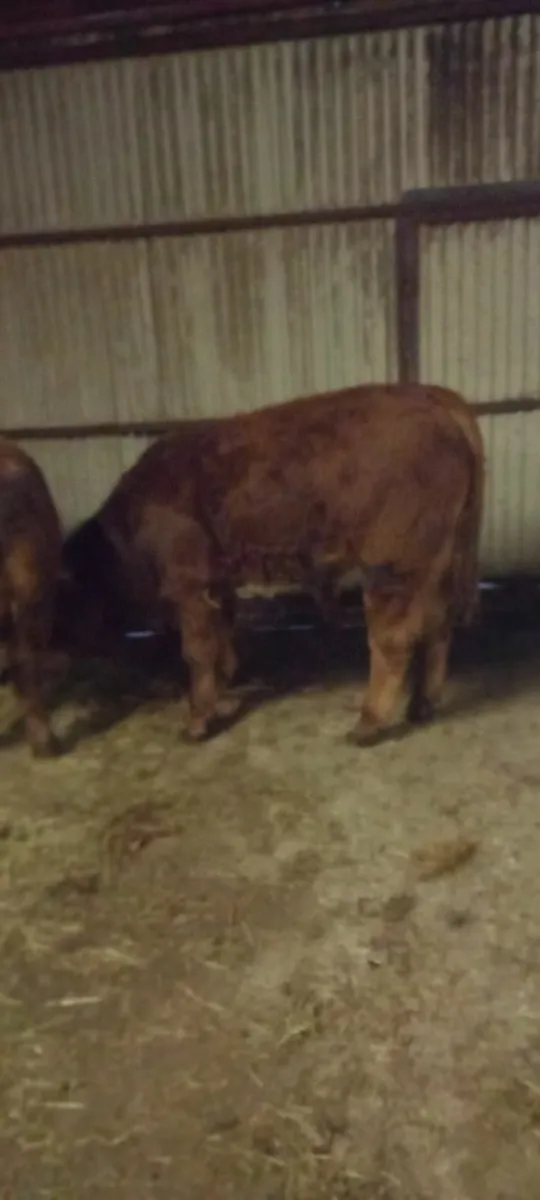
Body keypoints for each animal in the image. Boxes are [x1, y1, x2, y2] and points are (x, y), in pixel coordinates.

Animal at [58, 384, 484, 746]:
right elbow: (223, 641)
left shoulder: (190, 586)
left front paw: (197, 721)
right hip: (436, 566)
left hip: (392, 570)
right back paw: (421, 706)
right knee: (438, 628)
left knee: (391, 642)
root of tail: (430, 396)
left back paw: (367, 724)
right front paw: (224, 692)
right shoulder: (218, 584)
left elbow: (198, 652)